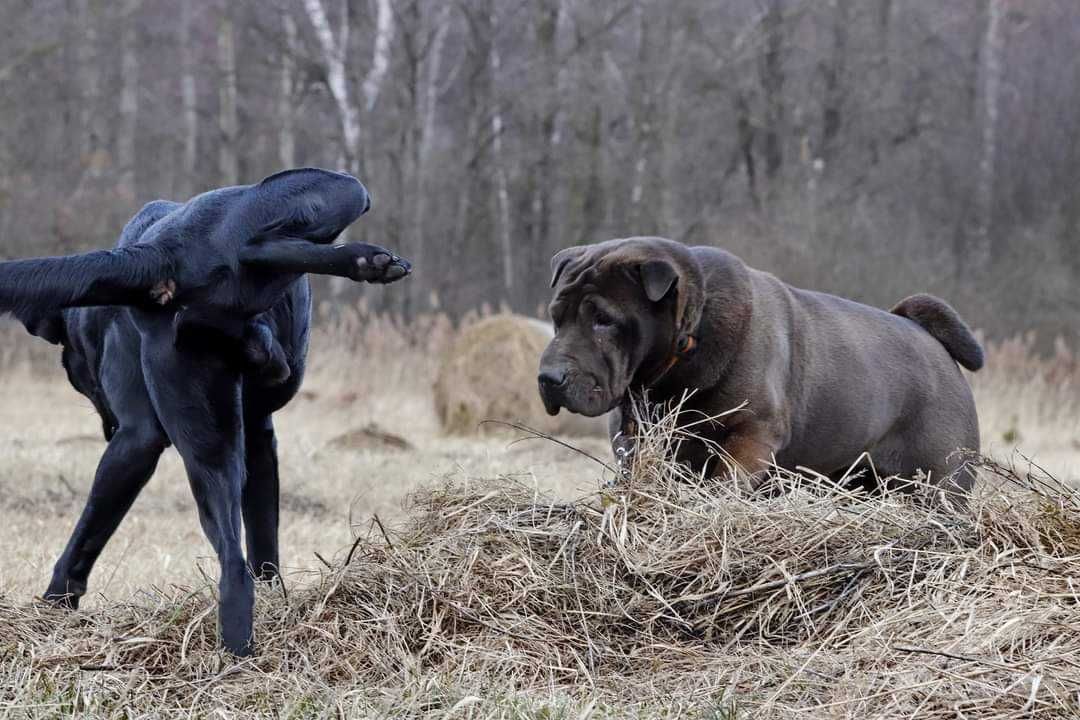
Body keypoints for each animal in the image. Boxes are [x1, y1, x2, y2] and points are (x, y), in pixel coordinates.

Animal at [5, 167, 408, 651]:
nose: (103, 422)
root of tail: (164, 253)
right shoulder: (249, 436)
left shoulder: (212, 438)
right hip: (333, 189)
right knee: (258, 248)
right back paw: (360, 265)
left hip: (205, 442)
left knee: (233, 562)